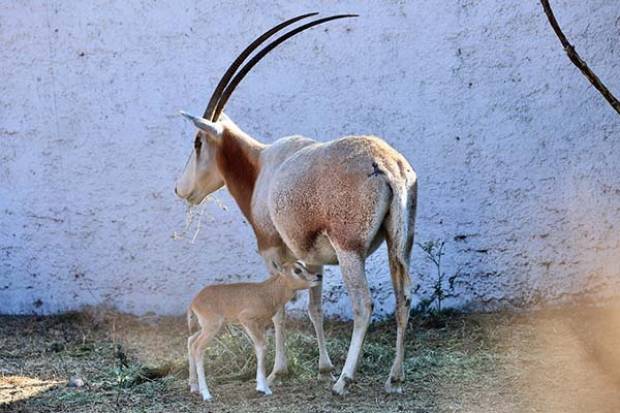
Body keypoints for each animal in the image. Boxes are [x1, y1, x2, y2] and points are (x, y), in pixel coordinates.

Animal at [185, 260, 320, 400]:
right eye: (297, 270)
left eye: (303, 264)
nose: (318, 276)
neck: (267, 293)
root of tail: (194, 302)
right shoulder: (247, 321)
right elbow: (262, 346)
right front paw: (264, 388)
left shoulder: (261, 326)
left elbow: (259, 348)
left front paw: (260, 386)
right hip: (211, 328)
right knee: (198, 347)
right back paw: (206, 394)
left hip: (202, 328)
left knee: (190, 342)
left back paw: (194, 388)